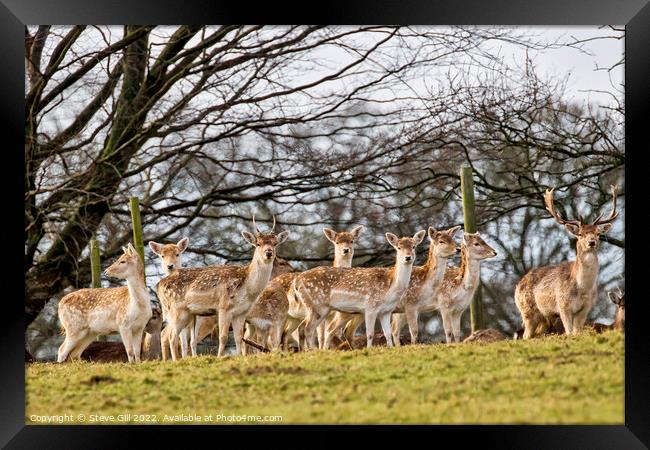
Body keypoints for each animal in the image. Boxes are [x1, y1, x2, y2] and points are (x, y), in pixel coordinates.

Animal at [156, 216, 288, 360]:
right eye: (258, 244)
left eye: (275, 243)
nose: (268, 253)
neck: (248, 288)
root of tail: (159, 285)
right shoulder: (224, 307)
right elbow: (223, 337)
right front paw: (220, 357)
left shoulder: (241, 312)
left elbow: (239, 338)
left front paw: (238, 357)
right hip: (176, 311)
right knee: (171, 336)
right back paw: (175, 360)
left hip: (187, 314)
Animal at [292, 230, 426, 350]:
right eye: (398, 247)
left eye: (413, 246)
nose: (408, 257)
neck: (390, 288)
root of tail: (297, 281)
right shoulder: (370, 307)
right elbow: (370, 334)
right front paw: (369, 350)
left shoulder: (386, 311)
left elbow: (388, 334)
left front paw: (390, 348)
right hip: (317, 306)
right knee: (308, 329)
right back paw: (313, 351)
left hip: (317, 308)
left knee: (305, 328)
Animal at [512, 185, 616, 338]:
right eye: (580, 234)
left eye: (598, 233)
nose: (592, 242)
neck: (582, 288)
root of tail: (518, 284)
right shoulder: (563, 305)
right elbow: (569, 332)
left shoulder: (586, 307)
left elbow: (577, 332)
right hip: (527, 311)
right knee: (525, 336)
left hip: (544, 317)